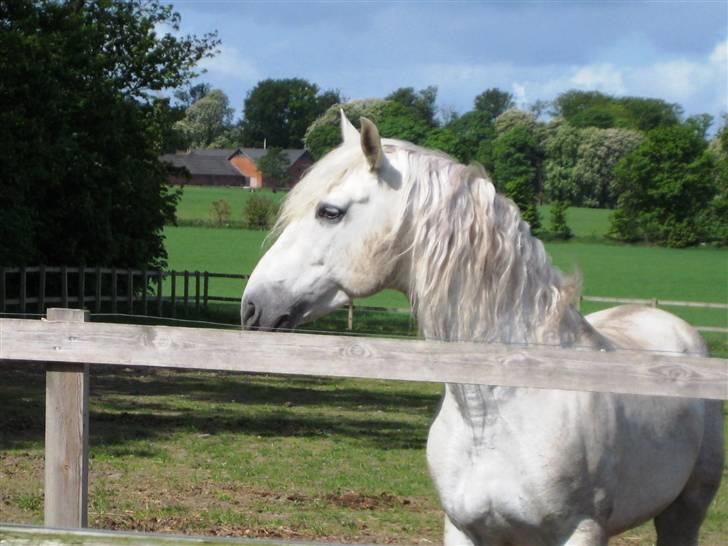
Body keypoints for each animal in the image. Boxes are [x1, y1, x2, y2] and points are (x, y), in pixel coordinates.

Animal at [243, 112, 724, 540]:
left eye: (329, 212)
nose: (252, 307)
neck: (494, 410)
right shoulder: (465, 529)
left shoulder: (581, 531)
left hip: (685, 511)